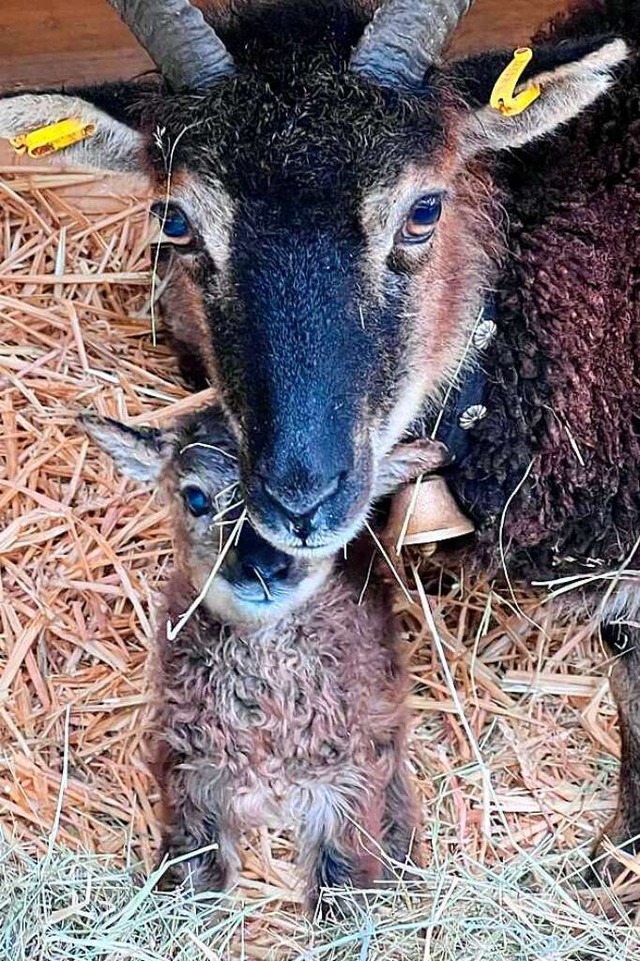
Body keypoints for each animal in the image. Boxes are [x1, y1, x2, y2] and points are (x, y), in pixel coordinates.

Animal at [80, 404, 448, 908]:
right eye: (196, 498)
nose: (263, 568)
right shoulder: (191, 773)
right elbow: (193, 874)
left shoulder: (347, 780)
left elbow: (343, 882)